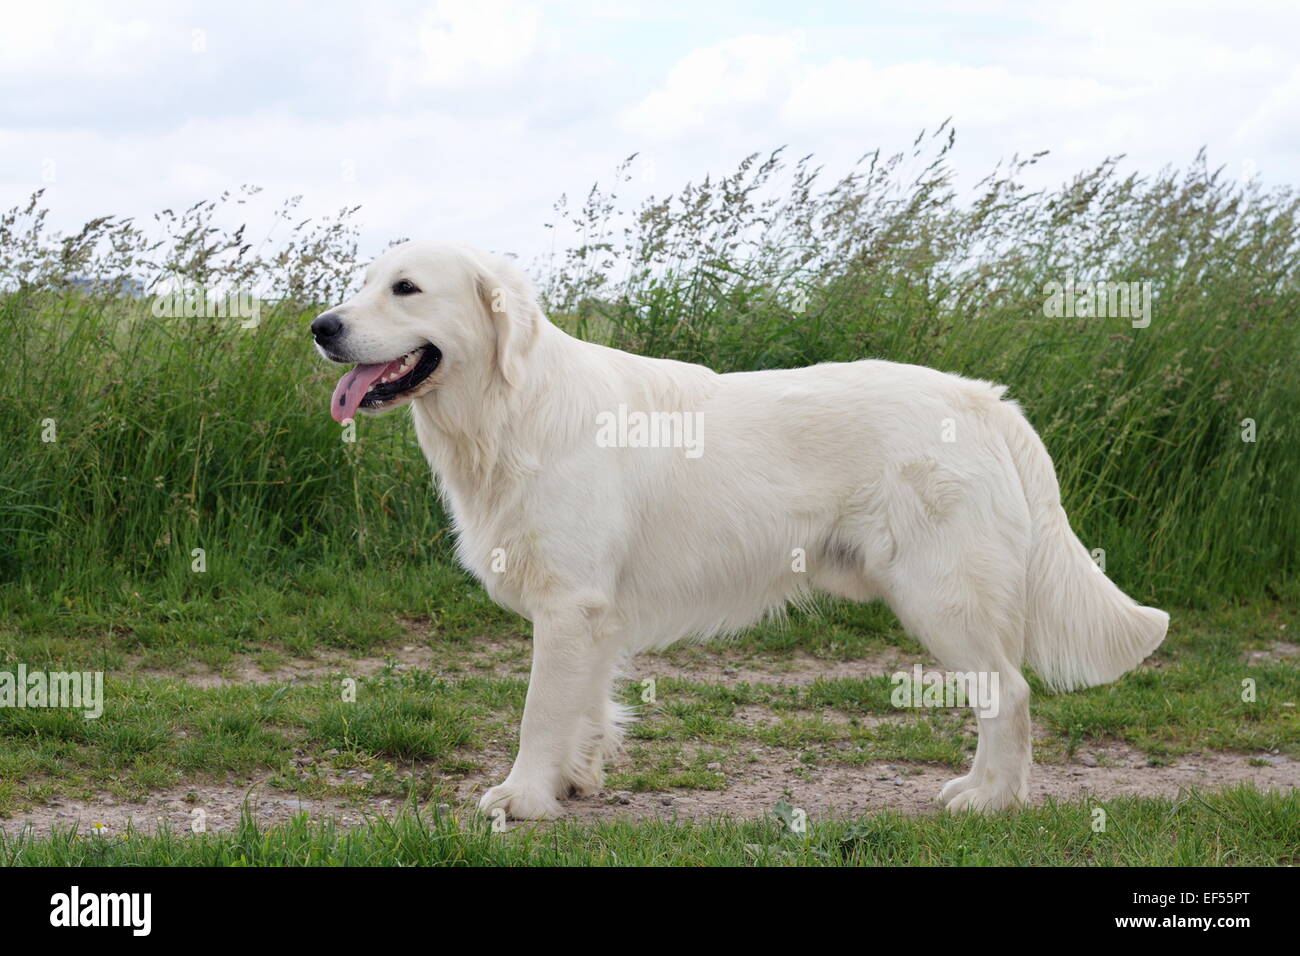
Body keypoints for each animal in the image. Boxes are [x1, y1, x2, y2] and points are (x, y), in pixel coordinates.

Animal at [312, 243, 1170, 816]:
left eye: (406, 289)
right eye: (362, 284)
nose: (321, 325)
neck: (509, 409)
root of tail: (985, 399)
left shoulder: (568, 604)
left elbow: (538, 714)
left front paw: (521, 797)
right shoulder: (594, 614)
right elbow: (586, 708)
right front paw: (576, 781)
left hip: (942, 595)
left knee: (1010, 694)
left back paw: (986, 798)